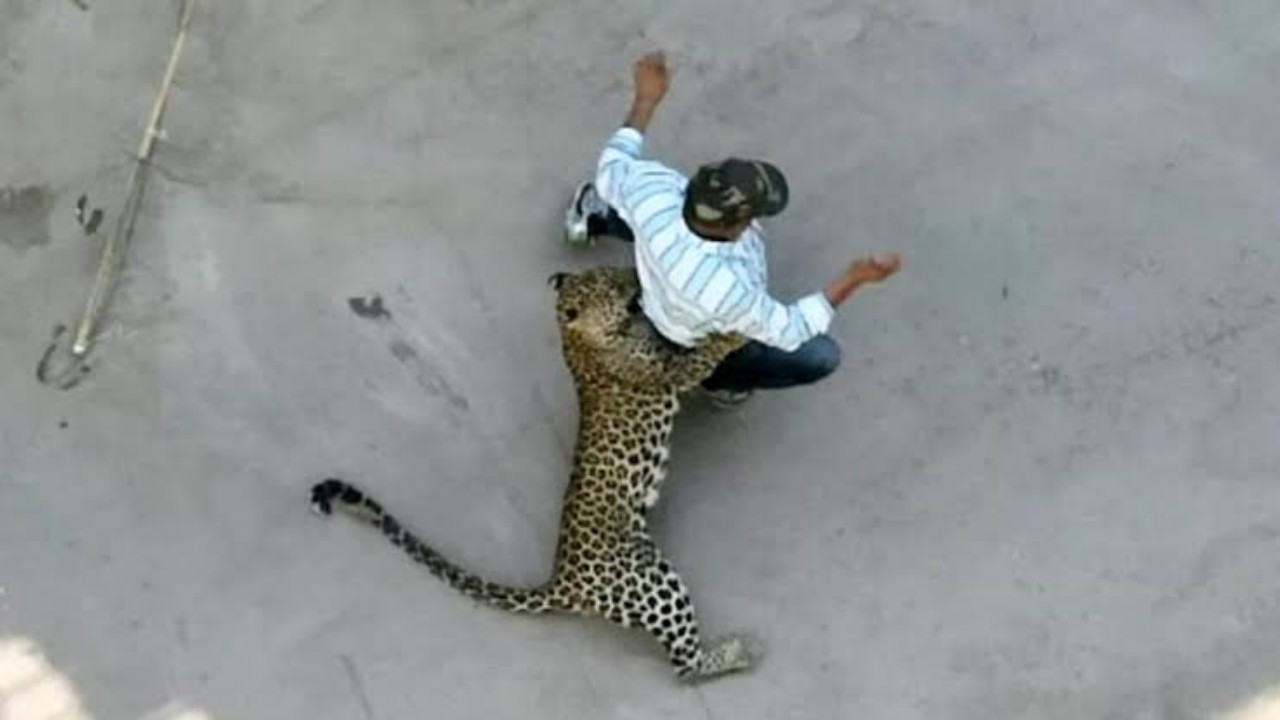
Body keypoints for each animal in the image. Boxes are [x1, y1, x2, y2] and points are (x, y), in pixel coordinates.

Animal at [310, 265, 756, 682]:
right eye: (613, 286)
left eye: (615, 273)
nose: (636, 278)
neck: (578, 338)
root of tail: (562, 581)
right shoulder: (663, 371)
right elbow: (696, 360)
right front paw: (732, 335)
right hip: (650, 580)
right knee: (684, 667)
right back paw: (737, 654)